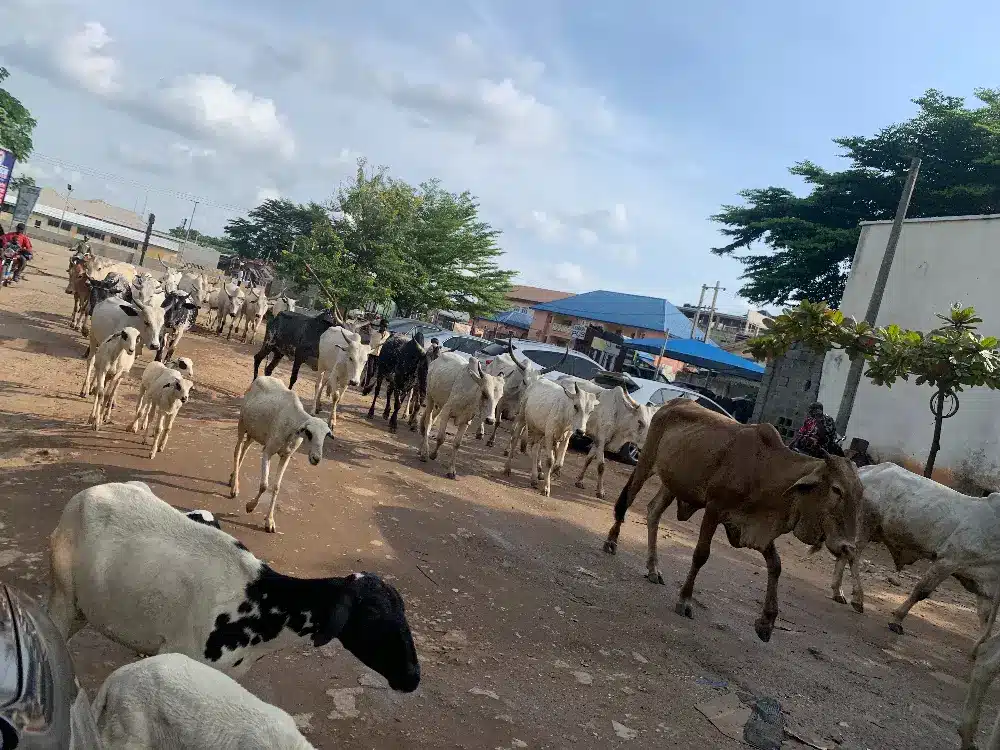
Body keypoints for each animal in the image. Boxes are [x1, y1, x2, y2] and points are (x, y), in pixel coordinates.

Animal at [229, 376, 332, 536]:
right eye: (309, 433)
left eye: (326, 435)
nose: (316, 458)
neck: (293, 423)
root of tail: (261, 377)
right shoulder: (268, 451)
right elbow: (264, 485)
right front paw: (250, 506)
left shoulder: (286, 456)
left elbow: (276, 487)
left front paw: (270, 521)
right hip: (242, 424)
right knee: (237, 450)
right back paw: (235, 488)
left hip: (255, 432)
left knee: (245, 449)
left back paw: (233, 478)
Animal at [418, 354, 504, 482]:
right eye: (484, 393)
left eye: (500, 397)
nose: (490, 420)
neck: (471, 396)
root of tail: (437, 359)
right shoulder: (446, 412)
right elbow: (441, 438)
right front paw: (433, 454)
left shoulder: (466, 421)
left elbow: (457, 444)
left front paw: (451, 471)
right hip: (430, 398)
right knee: (428, 421)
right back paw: (424, 452)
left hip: (440, 404)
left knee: (430, 420)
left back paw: (421, 448)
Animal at [604, 402, 864, 644]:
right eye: (836, 490)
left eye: (860, 493)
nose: (848, 546)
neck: (766, 470)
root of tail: (672, 404)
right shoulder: (714, 509)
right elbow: (701, 555)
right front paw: (685, 599)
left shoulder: (752, 528)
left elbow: (776, 565)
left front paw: (766, 622)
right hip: (646, 462)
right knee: (628, 500)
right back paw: (612, 542)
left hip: (672, 483)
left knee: (653, 512)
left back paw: (653, 569)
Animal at [832, 464, 1000, 636]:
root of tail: (865, 470)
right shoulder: (947, 561)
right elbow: (922, 591)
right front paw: (896, 620)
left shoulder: (983, 586)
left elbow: (985, 618)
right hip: (866, 522)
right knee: (853, 555)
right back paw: (857, 599)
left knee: (845, 553)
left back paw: (838, 592)